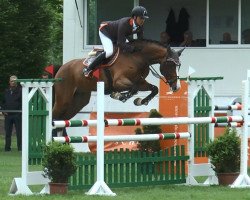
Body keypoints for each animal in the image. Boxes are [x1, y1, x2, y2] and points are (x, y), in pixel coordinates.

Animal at [52, 38, 184, 120]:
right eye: (170, 65)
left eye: (179, 65)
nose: (177, 87)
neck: (138, 57)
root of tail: (61, 68)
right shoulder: (118, 82)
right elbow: (133, 88)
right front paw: (119, 96)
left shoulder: (141, 82)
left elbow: (154, 88)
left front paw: (141, 101)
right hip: (64, 99)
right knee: (55, 117)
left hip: (80, 100)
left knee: (62, 120)